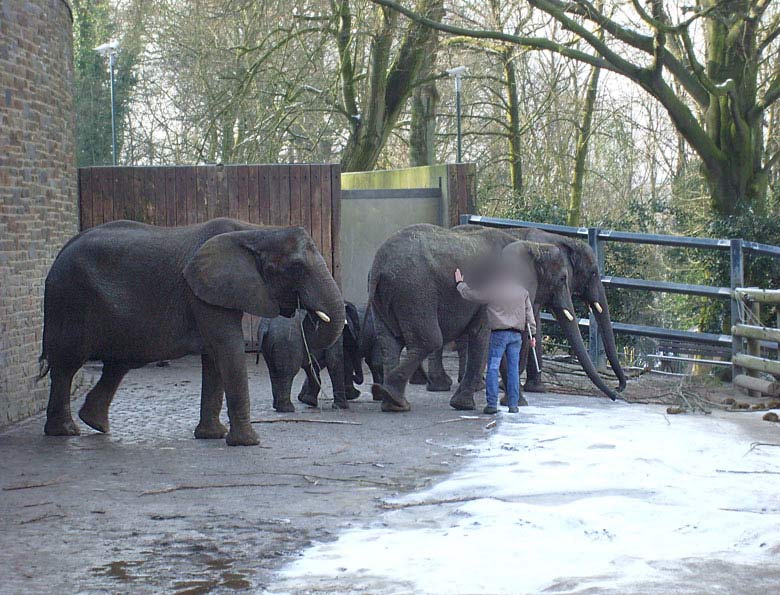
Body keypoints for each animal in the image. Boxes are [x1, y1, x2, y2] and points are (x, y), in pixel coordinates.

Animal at [39, 219, 344, 448]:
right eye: (296, 268)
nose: (307, 314)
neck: (255, 231)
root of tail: (60, 252)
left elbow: (214, 357)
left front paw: (212, 436)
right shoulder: (202, 292)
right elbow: (227, 348)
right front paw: (248, 443)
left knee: (119, 364)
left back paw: (94, 423)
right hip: (68, 300)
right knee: (67, 364)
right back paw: (66, 431)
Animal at [368, 224, 620, 414]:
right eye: (562, 279)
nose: (618, 392)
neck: (540, 245)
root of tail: (380, 266)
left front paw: (517, 401)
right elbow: (492, 334)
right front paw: (465, 405)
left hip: (388, 296)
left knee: (390, 341)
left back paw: (392, 400)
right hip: (415, 291)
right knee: (429, 340)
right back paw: (396, 394)